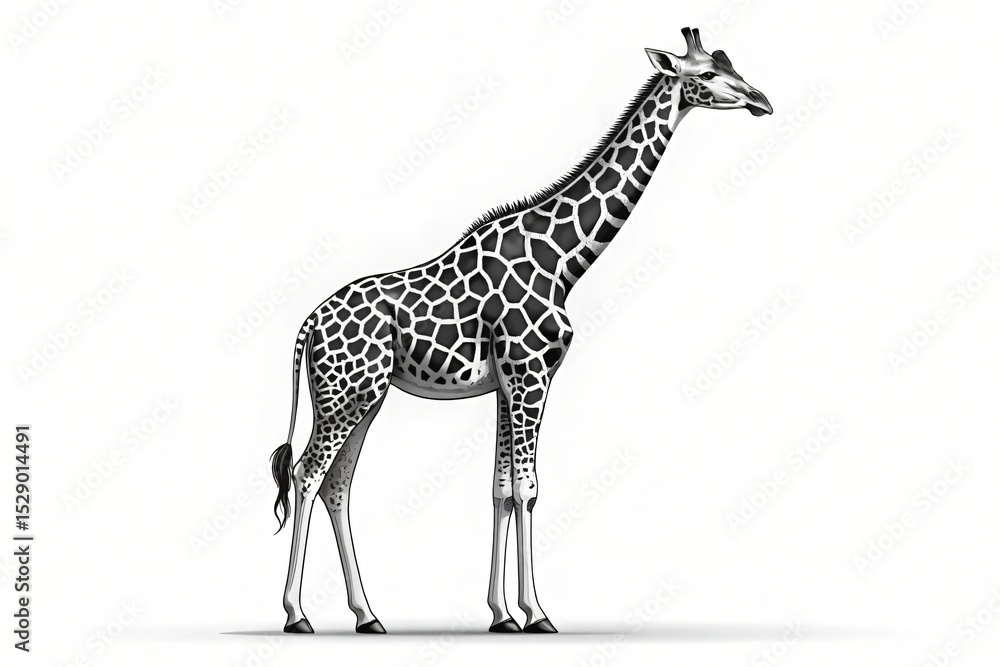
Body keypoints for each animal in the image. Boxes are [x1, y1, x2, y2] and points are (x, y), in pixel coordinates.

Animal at [270, 27, 771, 634]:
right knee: (307, 475)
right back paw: (296, 614)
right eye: (706, 75)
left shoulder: (511, 383)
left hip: (363, 396)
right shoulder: (530, 375)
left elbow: (501, 489)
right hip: (345, 395)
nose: (762, 101)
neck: (565, 263)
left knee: (337, 483)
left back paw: (368, 615)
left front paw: (502, 613)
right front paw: (537, 613)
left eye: (730, 64)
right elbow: (527, 491)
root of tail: (307, 324)